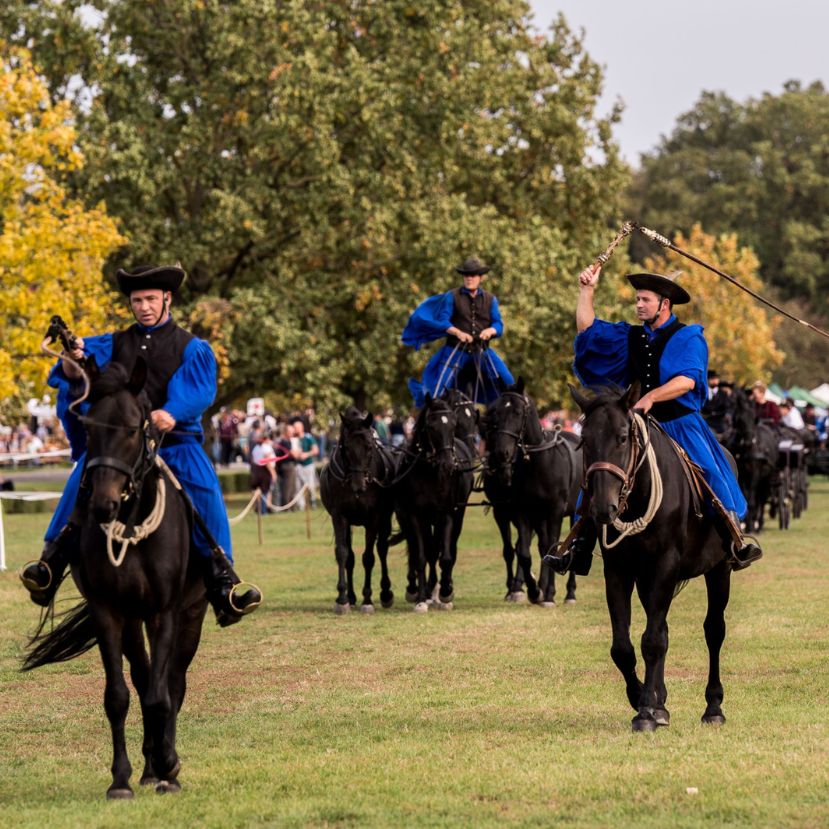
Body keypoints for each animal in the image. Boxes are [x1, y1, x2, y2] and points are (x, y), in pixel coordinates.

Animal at [21, 360, 206, 800]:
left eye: (134, 427)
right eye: (88, 428)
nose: (103, 503)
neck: (132, 523)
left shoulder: (164, 613)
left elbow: (162, 695)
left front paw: (170, 765)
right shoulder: (109, 613)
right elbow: (119, 695)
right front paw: (122, 779)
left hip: (191, 614)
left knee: (173, 683)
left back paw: (164, 763)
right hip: (132, 621)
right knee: (143, 677)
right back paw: (150, 767)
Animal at [318, 410, 396, 616]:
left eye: (369, 447)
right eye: (346, 448)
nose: (358, 485)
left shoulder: (374, 518)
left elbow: (368, 557)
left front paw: (367, 599)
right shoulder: (339, 517)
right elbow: (343, 553)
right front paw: (342, 598)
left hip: (385, 518)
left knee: (382, 549)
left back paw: (385, 593)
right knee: (350, 556)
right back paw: (351, 597)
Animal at [392, 392, 472, 612]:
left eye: (453, 424)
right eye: (432, 426)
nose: (448, 464)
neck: (429, 472)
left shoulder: (447, 514)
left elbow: (445, 556)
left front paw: (445, 593)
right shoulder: (415, 516)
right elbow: (421, 556)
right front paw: (421, 598)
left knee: (443, 549)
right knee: (421, 550)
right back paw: (420, 590)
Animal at [482, 380, 580, 600]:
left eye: (518, 412)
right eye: (495, 413)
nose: (503, 452)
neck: (540, 462)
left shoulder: (555, 511)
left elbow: (553, 546)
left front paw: (548, 593)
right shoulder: (520, 512)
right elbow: (523, 552)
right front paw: (532, 590)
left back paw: (569, 592)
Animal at [572, 384, 736, 732]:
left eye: (623, 437)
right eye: (584, 441)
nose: (602, 507)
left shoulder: (665, 565)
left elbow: (651, 641)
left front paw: (646, 710)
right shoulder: (619, 571)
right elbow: (624, 646)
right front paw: (643, 699)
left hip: (719, 571)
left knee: (713, 630)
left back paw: (713, 706)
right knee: (662, 629)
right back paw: (662, 702)